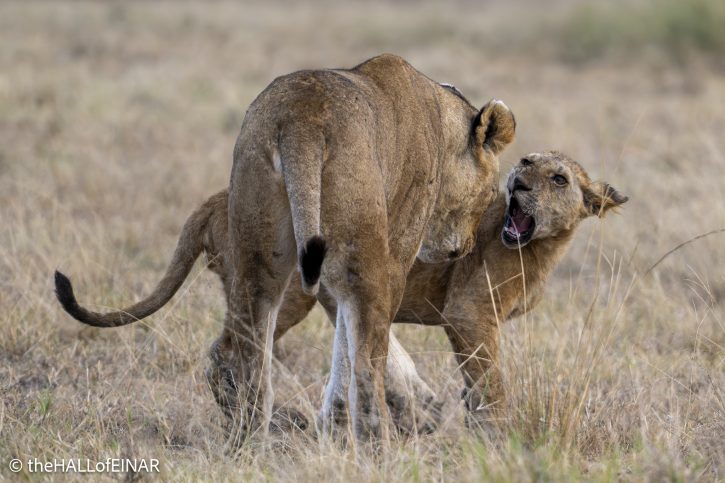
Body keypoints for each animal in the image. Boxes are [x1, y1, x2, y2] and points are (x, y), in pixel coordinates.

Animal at [55, 151, 626, 435]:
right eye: (527, 162)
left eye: (558, 178)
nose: (519, 182)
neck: (539, 246)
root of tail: (219, 196)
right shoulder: (467, 314)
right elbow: (490, 379)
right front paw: (497, 431)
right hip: (288, 290)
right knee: (227, 350)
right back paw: (258, 418)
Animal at [56, 54, 516, 440]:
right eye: (491, 194)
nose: (464, 247)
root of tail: (301, 119)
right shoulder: (393, 256)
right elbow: (351, 348)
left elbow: (339, 343)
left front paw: (332, 422)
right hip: (357, 260)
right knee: (368, 365)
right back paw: (378, 444)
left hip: (259, 254)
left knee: (243, 354)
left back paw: (248, 440)